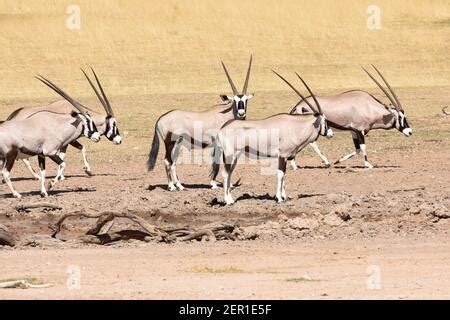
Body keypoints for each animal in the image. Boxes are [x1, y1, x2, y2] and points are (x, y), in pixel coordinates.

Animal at [148, 55, 253, 190]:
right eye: (234, 100)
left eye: (245, 100)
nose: (241, 113)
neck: (226, 115)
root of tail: (161, 118)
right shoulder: (218, 145)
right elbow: (217, 164)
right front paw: (214, 185)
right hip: (170, 143)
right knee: (167, 161)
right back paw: (171, 186)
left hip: (178, 144)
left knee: (173, 163)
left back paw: (180, 186)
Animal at [212, 71, 334, 204]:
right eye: (325, 121)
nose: (331, 134)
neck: (294, 126)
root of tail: (223, 128)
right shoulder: (283, 155)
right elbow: (280, 174)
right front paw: (279, 198)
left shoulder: (285, 157)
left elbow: (284, 175)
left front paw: (284, 196)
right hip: (229, 154)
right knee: (225, 173)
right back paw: (228, 201)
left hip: (235, 156)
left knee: (229, 173)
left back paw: (231, 199)